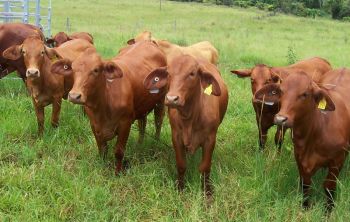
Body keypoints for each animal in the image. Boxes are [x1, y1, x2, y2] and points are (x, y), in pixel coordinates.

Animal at [50, 40, 167, 174]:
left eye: (96, 70)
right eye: (73, 69)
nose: (74, 96)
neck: (103, 107)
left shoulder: (125, 124)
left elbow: (119, 152)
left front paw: (118, 173)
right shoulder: (94, 125)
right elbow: (102, 149)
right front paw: (103, 167)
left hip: (160, 101)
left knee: (158, 121)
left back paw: (156, 142)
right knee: (142, 122)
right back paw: (140, 143)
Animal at [144, 55, 228, 196]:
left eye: (192, 73)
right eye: (168, 73)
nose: (172, 99)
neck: (190, 117)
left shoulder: (210, 139)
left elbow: (205, 167)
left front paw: (207, 192)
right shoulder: (176, 137)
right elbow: (181, 164)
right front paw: (180, 188)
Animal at [254, 69, 350, 212]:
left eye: (305, 94)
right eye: (281, 91)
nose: (280, 119)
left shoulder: (337, 160)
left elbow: (329, 186)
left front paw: (328, 210)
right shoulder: (300, 158)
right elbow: (305, 184)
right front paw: (305, 207)